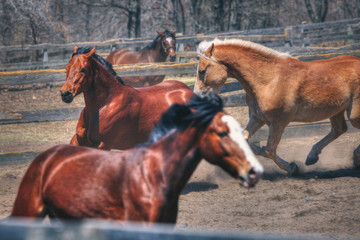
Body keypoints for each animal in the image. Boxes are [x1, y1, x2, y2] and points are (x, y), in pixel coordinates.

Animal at [60, 45, 194, 150]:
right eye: (66, 67)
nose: (65, 94)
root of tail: (188, 91)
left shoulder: (103, 144)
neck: (105, 104)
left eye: (83, 69)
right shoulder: (78, 139)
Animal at [194, 38, 360, 175]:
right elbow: (246, 138)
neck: (270, 80)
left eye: (202, 71)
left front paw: (293, 168)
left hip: (353, 114)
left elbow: (269, 150)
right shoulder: (258, 118)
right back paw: (312, 156)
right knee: (339, 130)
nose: (197, 96)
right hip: (336, 110)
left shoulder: (279, 122)